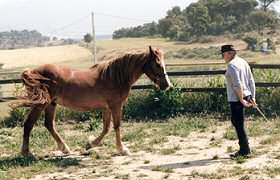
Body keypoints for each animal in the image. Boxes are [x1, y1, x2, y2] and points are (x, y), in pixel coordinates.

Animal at [17, 46, 172, 156]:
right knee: (29, 124)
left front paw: (90, 144)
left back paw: (64, 148)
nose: (166, 85)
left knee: (49, 124)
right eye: (158, 64)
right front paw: (122, 149)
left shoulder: (106, 107)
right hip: (41, 104)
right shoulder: (115, 106)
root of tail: (32, 72)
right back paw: (27, 152)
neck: (115, 77)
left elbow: (106, 128)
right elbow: (117, 126)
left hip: (51, 104)